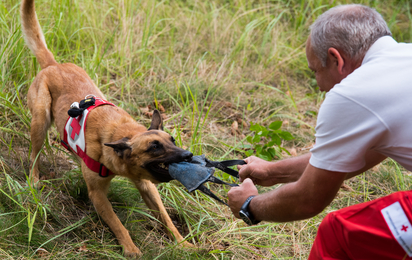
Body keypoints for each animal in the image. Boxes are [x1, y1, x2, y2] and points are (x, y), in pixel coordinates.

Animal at [22, 0, 195, 256]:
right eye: (154, 147)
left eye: (172, 140)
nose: (188, 155)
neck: (121, 134)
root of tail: (54, 65)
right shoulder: (98, 195)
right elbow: (117, 223)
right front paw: (131, 249)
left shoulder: (146, 186)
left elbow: (166, 218)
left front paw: (184, 244)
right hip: (40, 121)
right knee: (34, 154)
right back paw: (34, 180)